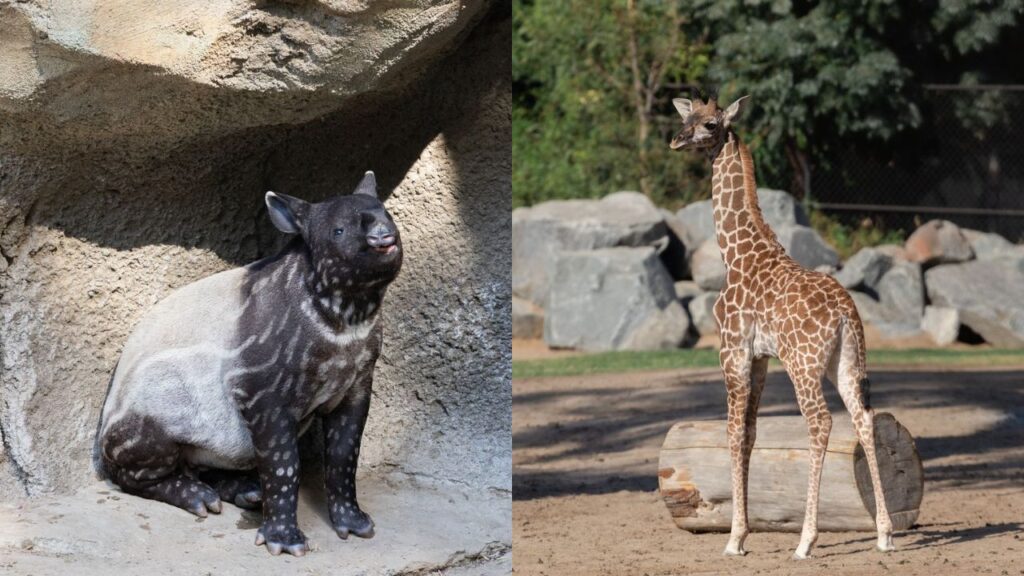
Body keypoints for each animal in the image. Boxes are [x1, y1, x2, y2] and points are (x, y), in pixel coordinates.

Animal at [669, 95, 895, 559]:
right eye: (685, 116)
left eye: (711, 124)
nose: (676, 140)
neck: (735, 253)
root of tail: (845, 313)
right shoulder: (760, 358)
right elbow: (751, 433)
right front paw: (742, 534)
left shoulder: (732, 349)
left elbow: (732, 432)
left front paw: (734, 538)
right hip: (845, 362)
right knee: (863, 417)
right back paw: (884, 534)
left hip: (803, 363)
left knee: (821, 422)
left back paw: (806, 541)